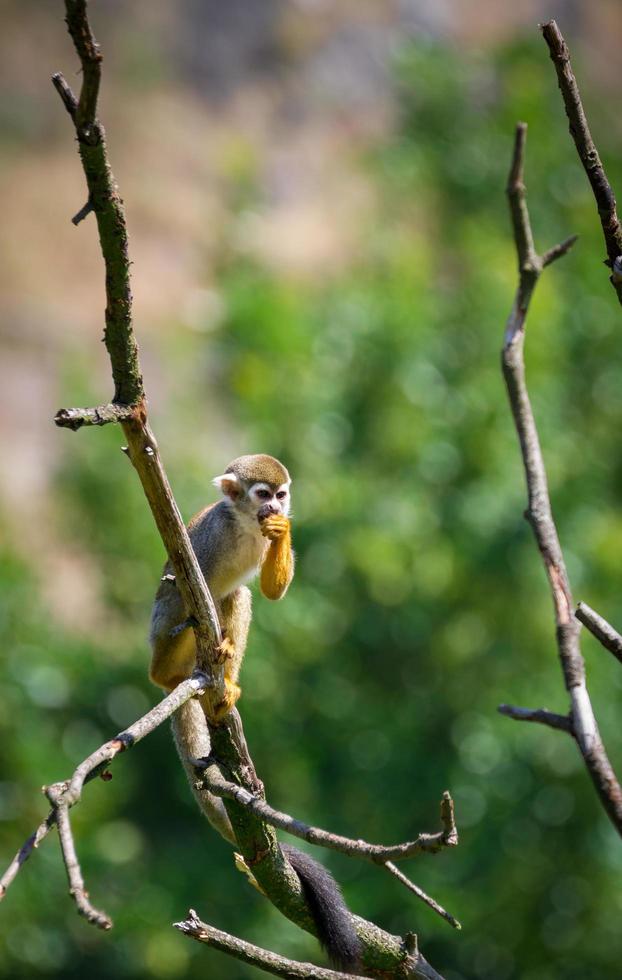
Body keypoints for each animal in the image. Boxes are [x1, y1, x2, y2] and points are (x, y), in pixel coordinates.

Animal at [152, 454, 298, 720]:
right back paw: (165, 675)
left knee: (238, 594)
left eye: (280, 495)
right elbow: (198, 588)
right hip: (162, 624)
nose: (275, 507)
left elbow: (272, 592)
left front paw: (281, 528)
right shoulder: (215, 531)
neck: (245, 523)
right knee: (183, 599)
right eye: (263, 494)